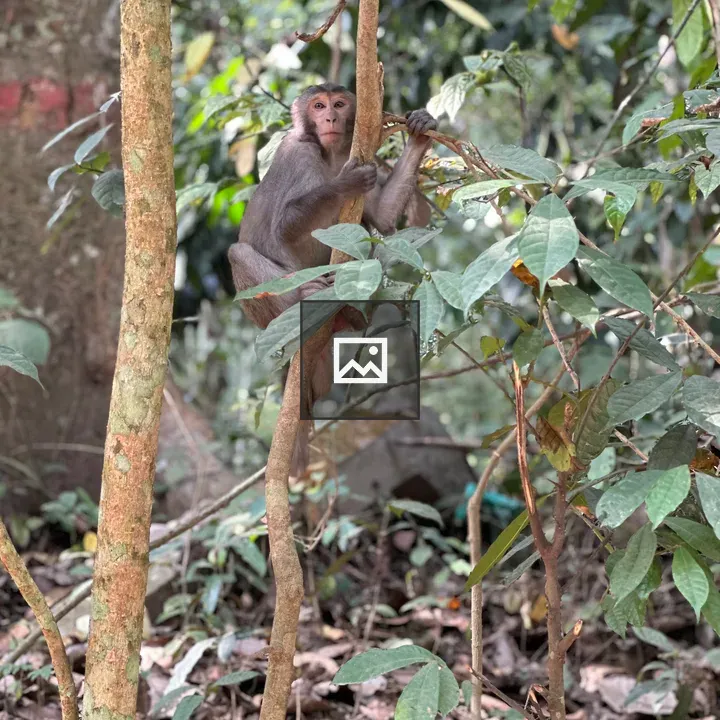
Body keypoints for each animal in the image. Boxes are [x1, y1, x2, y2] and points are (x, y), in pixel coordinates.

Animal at [228, 82, 437, 475]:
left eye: (339, 104)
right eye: (318, 106)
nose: (329, 119)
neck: (330, 153)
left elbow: (381, 218)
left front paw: (419, 131)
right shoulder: (300, 154)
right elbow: (284, 225)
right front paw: (344, 184)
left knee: (365, 233)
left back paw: (350, 314)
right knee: (238, 253)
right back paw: (304, 299)